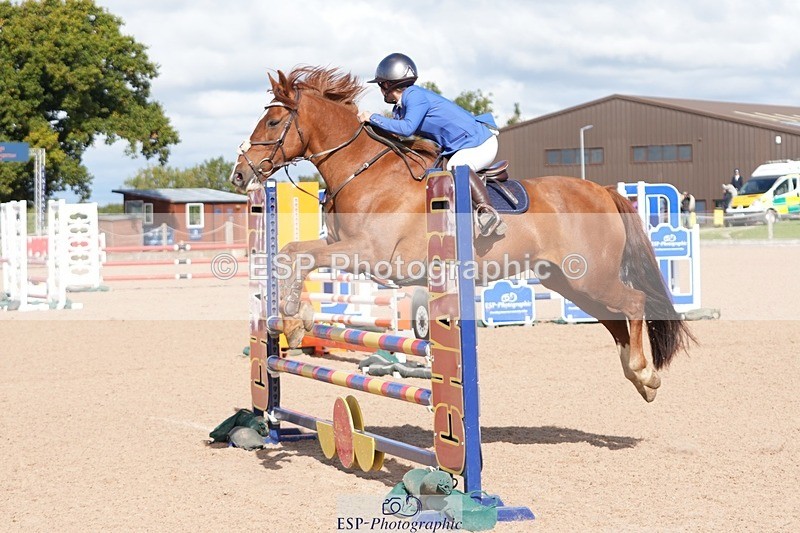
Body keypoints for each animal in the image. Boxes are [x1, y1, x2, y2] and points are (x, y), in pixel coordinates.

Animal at [230, 66, 695, 402]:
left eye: (273, 121)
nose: (239, 174)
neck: (365, 171)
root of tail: (602, 189)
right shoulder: (341, 247)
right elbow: (292, 251)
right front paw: (297, 321)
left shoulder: (371, 254)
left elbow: (300, 255)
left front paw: (295, 318)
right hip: (570, 281)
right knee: (616, 317)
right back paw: (641, 379)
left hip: (590, 276)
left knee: (633, 303)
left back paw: (643, 371)